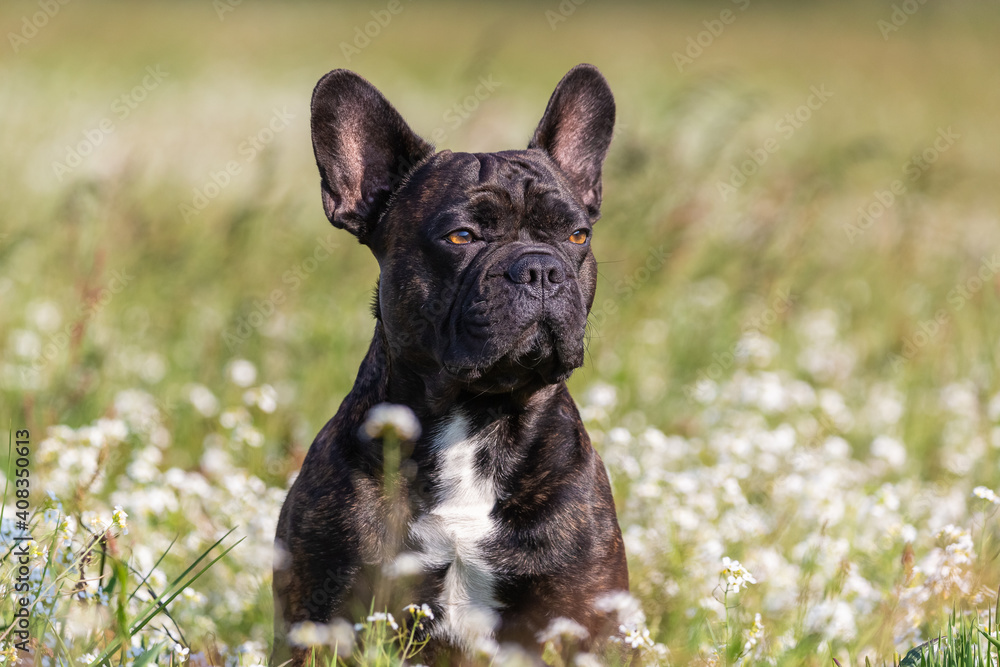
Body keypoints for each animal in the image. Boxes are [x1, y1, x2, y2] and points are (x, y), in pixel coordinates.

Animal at [274, 64, 628, 667]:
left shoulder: (577, 618)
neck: (479, 413)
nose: (540, 268)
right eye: (461, 236)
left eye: (576, 235)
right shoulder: (322, 612)